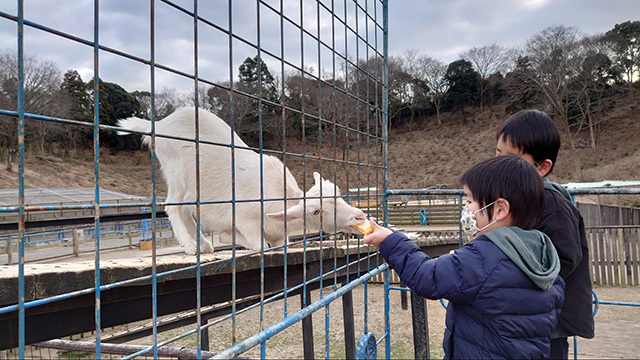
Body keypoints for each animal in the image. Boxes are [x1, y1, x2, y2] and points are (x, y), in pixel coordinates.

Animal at [118, 107, 368, 253]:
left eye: (339, 194)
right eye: (316, 211)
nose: (359, 216)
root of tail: (157, 125)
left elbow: (280, 244)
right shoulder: (245, 217)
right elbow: (259, 245)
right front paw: (231, 236)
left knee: (186, 211)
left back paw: (204, 245)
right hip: (176, 171)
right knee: (172, 205)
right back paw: (190, 246)